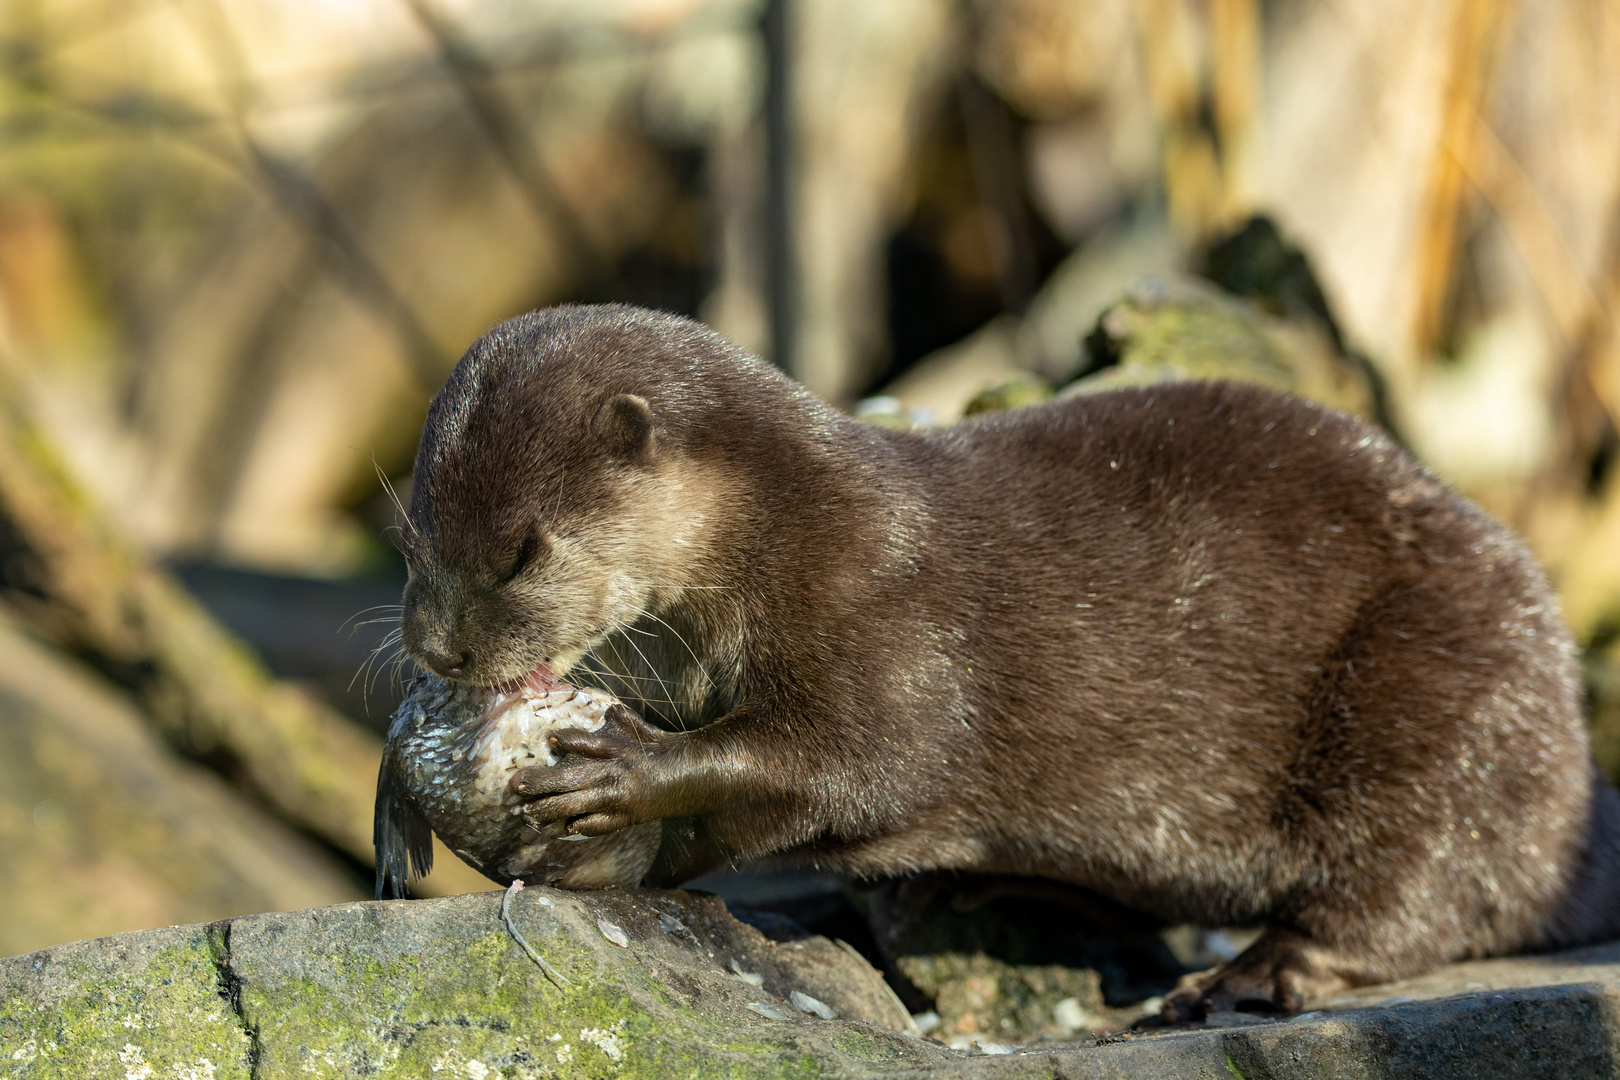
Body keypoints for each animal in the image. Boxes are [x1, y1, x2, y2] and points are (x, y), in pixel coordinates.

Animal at [395, 299, 1620, 1016]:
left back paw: (1252, 974)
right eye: (410, 537)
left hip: (1437, 681)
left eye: (520, 552)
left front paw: (625, 768)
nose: (437, 649)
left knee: (1422, 885)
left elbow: (859, 763)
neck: (789, 536)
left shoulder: (889, 621)